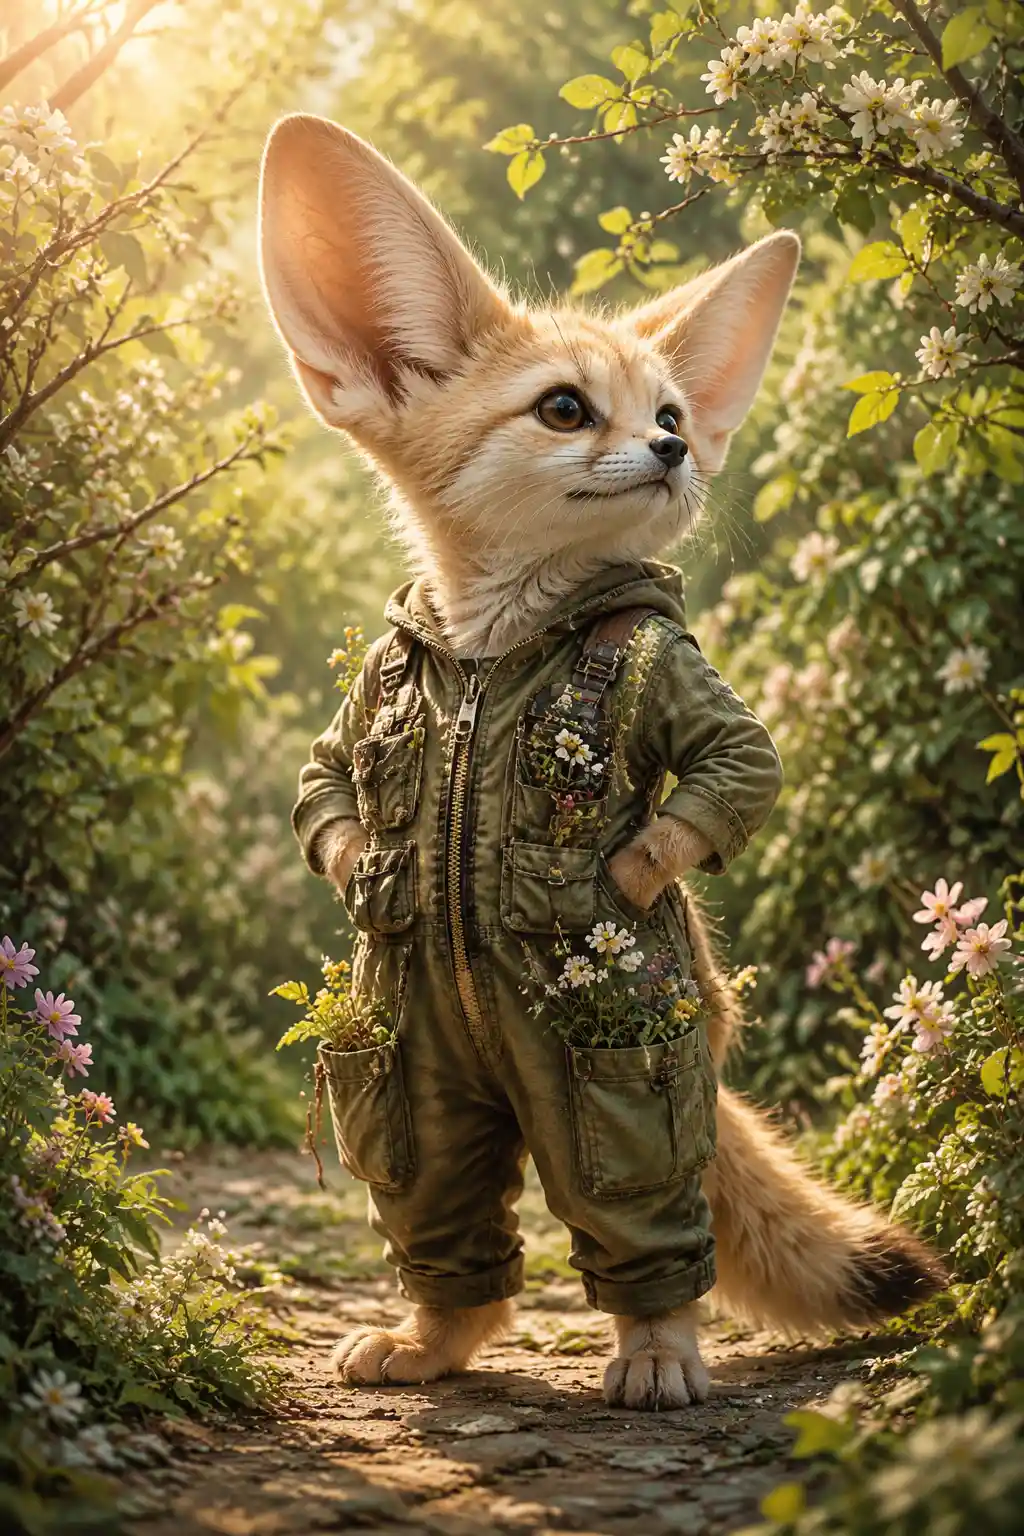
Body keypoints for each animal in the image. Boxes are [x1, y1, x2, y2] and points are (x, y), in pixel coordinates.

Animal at [258, 113, 946, 1411]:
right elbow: (327, 788)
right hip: (414, 1091)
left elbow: (729, 767)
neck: (490, 662)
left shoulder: (682, 694)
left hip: (619, 1080)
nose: (674, 454)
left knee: (638, 1220)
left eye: (669, 413)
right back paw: (433, 1337)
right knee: (458, 1240)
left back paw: (656, 1352)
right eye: (565, 409)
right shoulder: (359, 721)